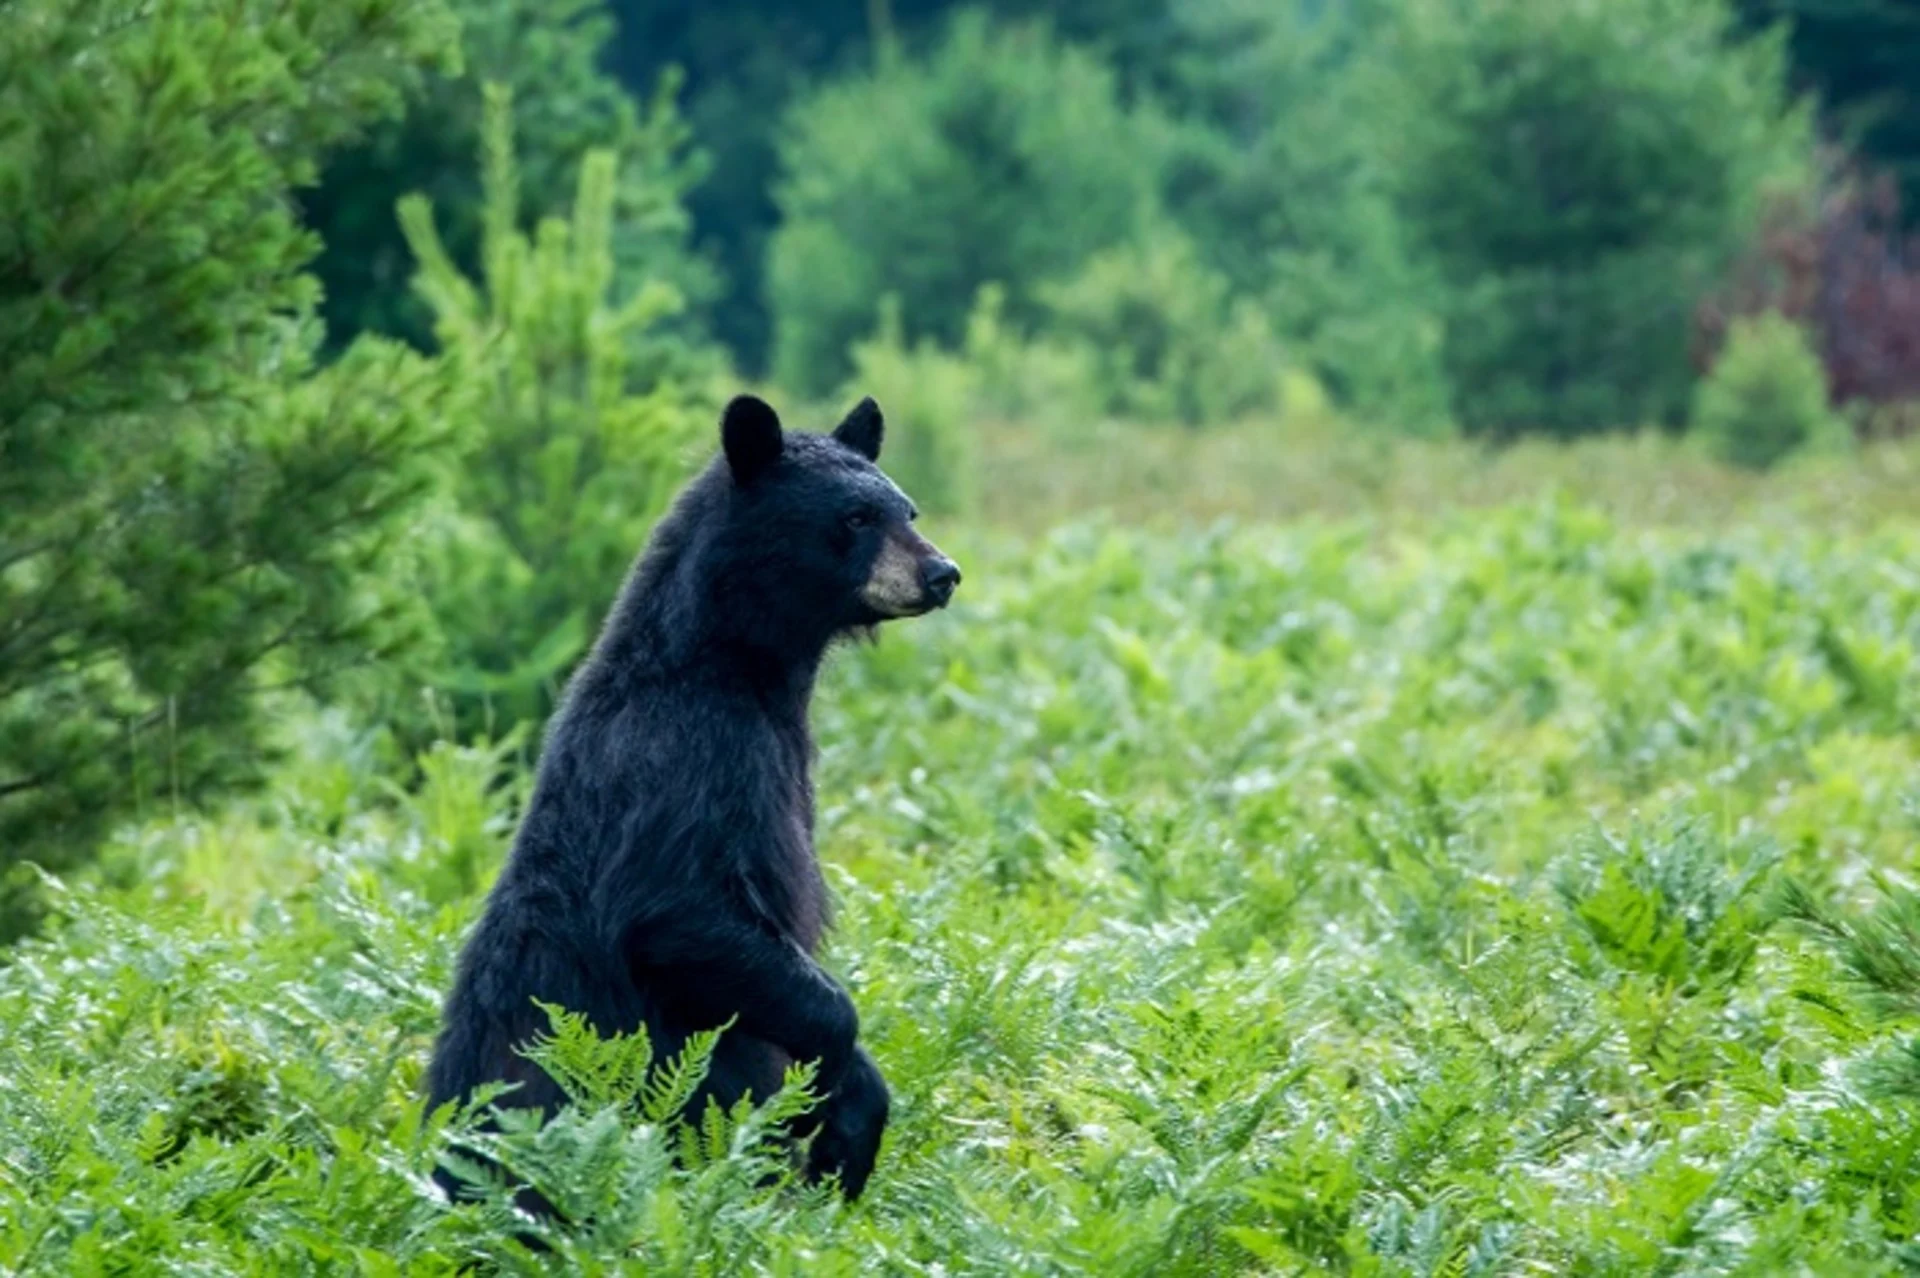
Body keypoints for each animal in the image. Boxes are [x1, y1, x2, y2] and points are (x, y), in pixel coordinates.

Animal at [424, 387, 956, 1197]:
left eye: (909, 509)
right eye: (857, 517)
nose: (943, 574)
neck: (733, 670)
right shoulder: (690, 758)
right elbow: (675, 912)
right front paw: (831, 1096)